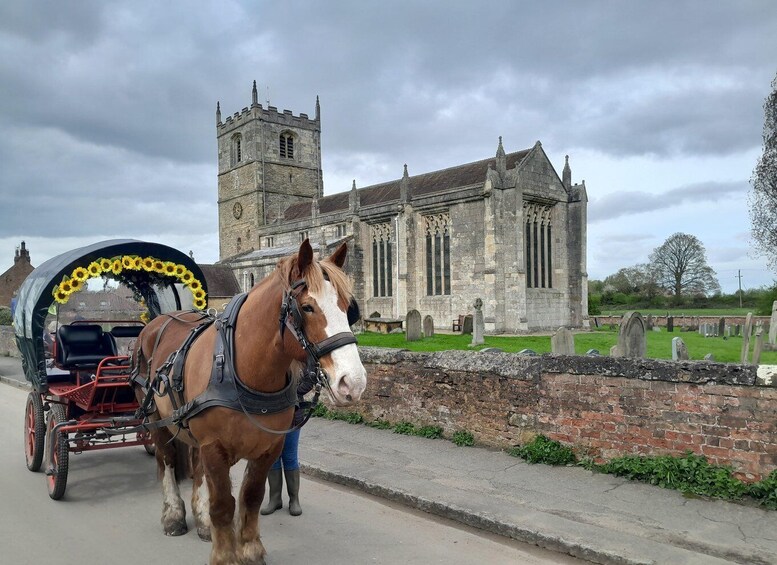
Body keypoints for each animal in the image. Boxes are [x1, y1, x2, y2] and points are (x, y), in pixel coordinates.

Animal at [131, 239, 366, 564]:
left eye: (347, 307)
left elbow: (251, 497)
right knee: (165, 461)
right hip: (157, 419)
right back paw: (174, 516)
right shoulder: (214, 446)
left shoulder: (268, 447)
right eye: (307, 307)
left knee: (196, 466)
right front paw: (224, 556)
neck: (241, 367)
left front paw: (250, 548)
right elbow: (223, 504)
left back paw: (202, 521)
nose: (353, 382)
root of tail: (158, 321)